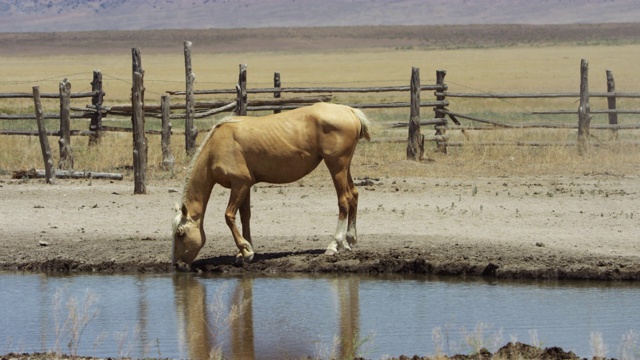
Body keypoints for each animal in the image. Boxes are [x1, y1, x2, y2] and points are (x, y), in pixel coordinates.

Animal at [171, 101, 370, 268]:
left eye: (180, 233)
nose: (177, 264)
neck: (217, 146)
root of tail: (349, 110)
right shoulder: (245, 186)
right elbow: (245, 216)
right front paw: (245, 251)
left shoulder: (239, 184)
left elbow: (229, 216)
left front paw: (246, 251)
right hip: (344, 167)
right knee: (353, 195)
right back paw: (350, 240)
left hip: (336, 166)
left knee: (343, 200)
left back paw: (334, 244)